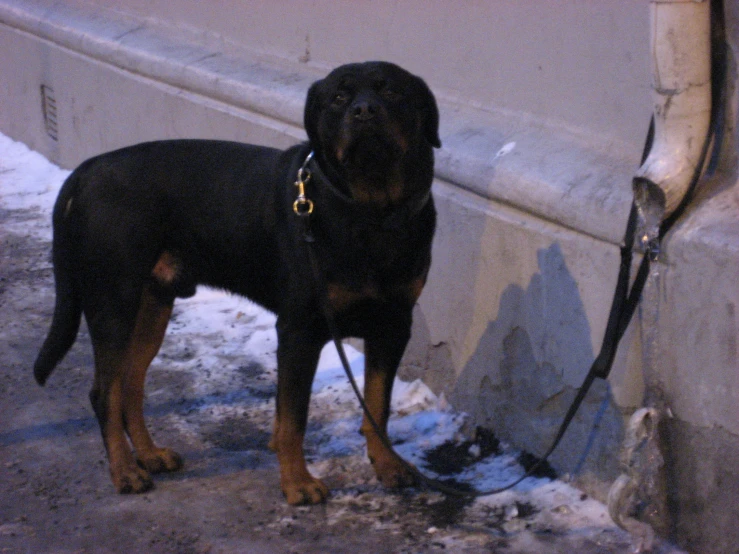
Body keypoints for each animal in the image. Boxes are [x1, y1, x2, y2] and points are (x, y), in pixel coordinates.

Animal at [33, 59, 440, 500]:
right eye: (338, 97)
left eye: (393, 91)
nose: (364, 111)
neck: (371, 212)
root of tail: (84, 172)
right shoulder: (300, 328)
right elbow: (294, 415)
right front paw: (298, 482)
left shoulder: (392, 324)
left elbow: (377, 406)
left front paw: (389, 466)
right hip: (113, 301)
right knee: (104, 393)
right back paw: (125, 471)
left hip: (151, 304)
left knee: (130, 384)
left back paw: (150, 455)